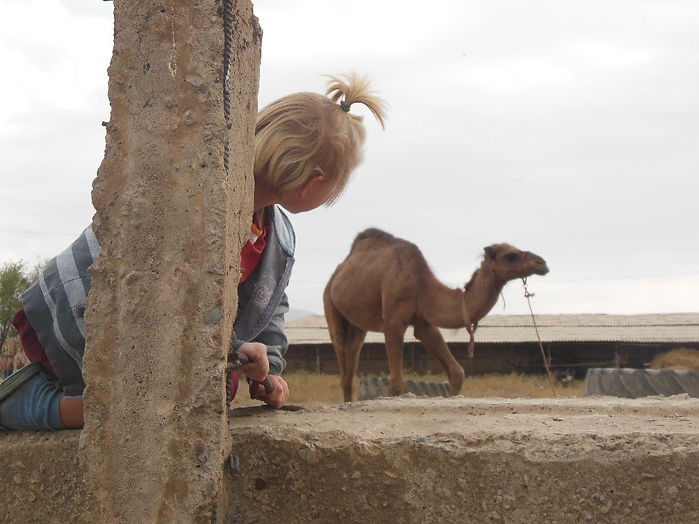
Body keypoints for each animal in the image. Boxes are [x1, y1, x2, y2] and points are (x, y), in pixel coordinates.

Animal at [323, 228, 549, 401]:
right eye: (511, 255)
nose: (542, 263)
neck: (423, 287)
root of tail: (337, 273)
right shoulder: (393, 322)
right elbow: (396, 385)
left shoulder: (424, 323)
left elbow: (457, 372)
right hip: (330, 304)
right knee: (342, 353)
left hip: (356, 325)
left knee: (353, 356)